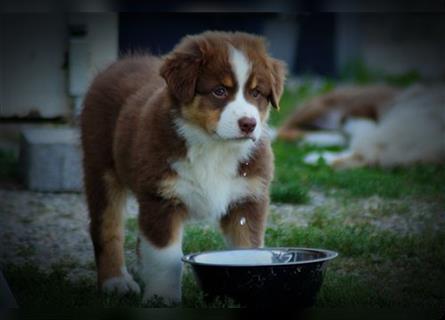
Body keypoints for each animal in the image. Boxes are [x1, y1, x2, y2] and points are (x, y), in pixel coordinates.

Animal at [80, 31, 284, 304]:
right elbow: (165, 258)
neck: (213, 147)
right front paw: (162, 299)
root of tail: (120, 63)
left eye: (256, 93)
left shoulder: (248, 198)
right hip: (100, 167)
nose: (249, 124)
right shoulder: (161, 198)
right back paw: (116, 281)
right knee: (106, 227)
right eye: (219, 91)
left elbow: (249, 250)